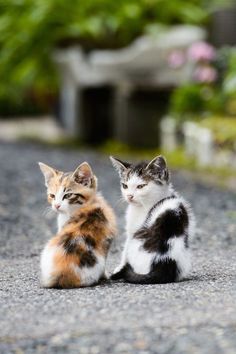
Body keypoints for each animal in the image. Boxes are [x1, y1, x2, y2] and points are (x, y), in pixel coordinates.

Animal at [109, 155, 195, 284]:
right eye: (125, 186)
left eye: (141, 186)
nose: (129, 196)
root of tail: (165, 261)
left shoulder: (132, 231)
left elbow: (124, 252)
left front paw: (118, 268)